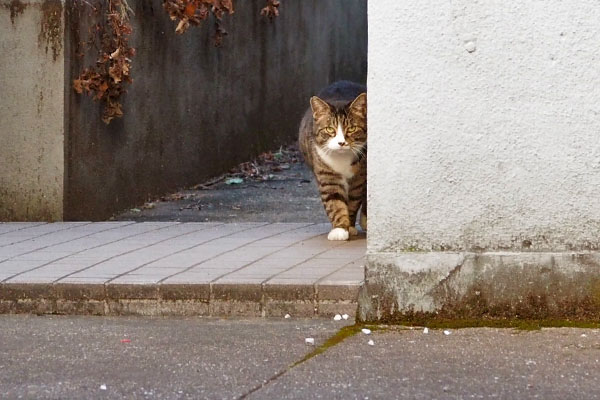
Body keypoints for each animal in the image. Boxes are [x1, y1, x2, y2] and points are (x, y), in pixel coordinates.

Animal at [298, 79, 366, 239]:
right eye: (330, 129)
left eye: (352, 129)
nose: (341, 143)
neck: (342, 159)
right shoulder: (327, 175)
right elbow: (334, 201)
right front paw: (340, 229)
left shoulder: (359, 178)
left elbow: (354, 201)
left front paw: (350, 226)